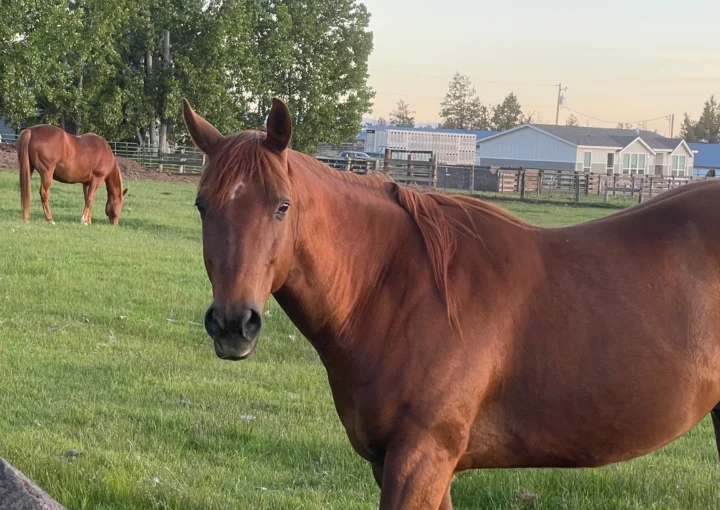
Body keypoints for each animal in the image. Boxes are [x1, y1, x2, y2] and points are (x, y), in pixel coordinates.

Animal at [183, 97, 720, 510]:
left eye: (282, 206)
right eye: (202, 206)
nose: (233, 323)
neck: (398, 290)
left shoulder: (421, 459)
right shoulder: (404, 464)